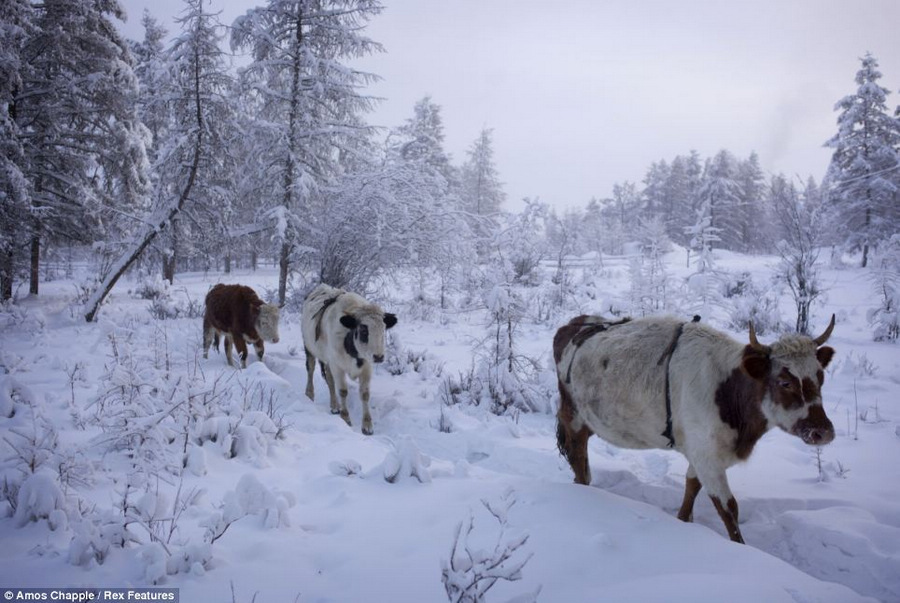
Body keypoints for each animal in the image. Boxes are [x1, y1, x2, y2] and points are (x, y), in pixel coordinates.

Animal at [300, 284, 396, 434]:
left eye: (383, 330)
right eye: (363, 330)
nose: (379, 357)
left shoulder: (366, 368)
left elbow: (365, 394)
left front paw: (367, 425)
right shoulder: (337, 366)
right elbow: (343, 391)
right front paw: (345, 418)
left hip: (328, 359)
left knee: (329, 380)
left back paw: (334, 406)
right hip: (309, 347)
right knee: (310, 369)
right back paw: (309, 395)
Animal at [552, 314, 840, 544]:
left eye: (820, 377)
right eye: (784, 382)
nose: (823, 431)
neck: (727, 391)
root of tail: (576, 323)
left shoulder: (702, 453)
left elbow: (691, 488)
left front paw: (683, 521)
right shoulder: (707, 456)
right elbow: (729, 509)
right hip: (573, 417)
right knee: (578, 457)